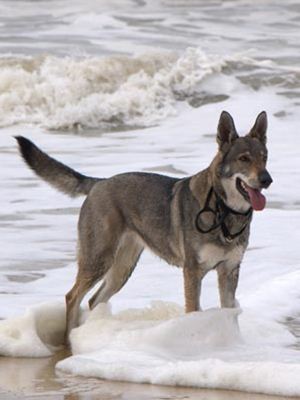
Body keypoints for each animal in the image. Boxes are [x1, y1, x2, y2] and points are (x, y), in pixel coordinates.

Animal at [15, 111, 272, 342]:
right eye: (244, 159)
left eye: (264, 157)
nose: (267, 180)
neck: (223, 209)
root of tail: (99, 183)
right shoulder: (192, 272)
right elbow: (192, 311)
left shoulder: (229, 271)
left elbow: (230, 313)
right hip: (98, 261)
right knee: (72, 297)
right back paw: (70, 340)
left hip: (122, 269)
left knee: (94, 300)